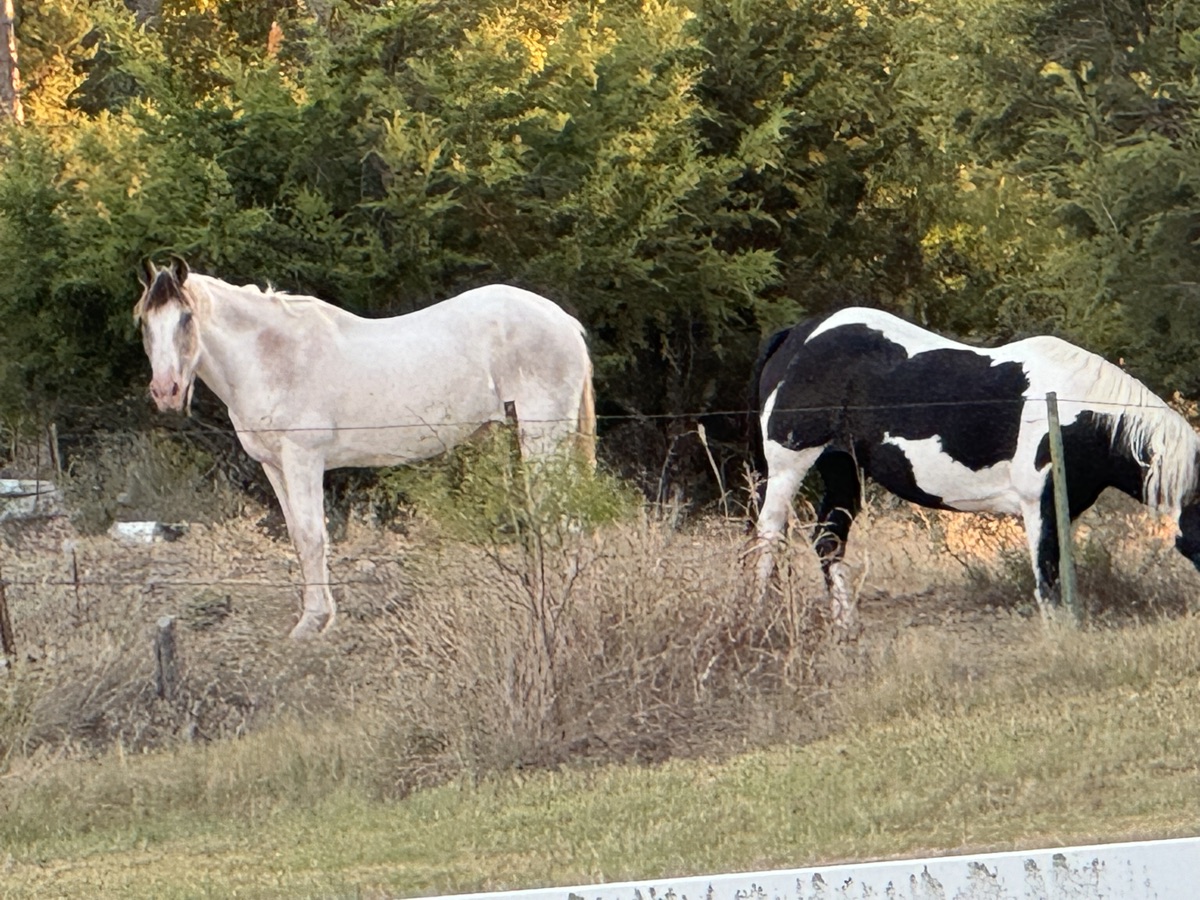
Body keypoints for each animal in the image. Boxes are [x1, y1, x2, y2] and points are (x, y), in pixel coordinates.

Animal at [134, 256, 596, 638]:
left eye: (186, 318)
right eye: (144, 321)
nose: (165, 391)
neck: (272, 356)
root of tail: (564, 321)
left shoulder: (303, 458)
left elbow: (312, 535)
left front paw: (313, 622)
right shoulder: (274, 465)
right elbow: (298, 537)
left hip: (542, 437)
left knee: (562, 516)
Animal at [747, 306, 1200, 627]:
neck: (1083, 412)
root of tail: (796, 336)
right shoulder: (1039, 502)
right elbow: (1047, 574)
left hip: (842, 466)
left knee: (828, 539)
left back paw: (846, 625)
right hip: (791, 463)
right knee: (769, 534)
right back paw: (758, 616)